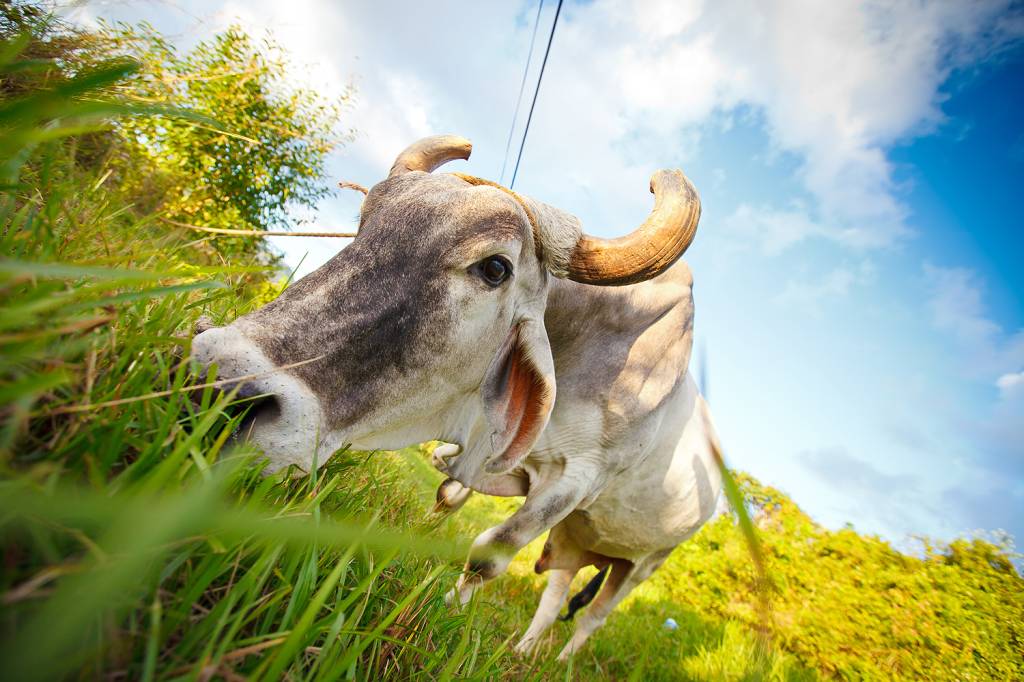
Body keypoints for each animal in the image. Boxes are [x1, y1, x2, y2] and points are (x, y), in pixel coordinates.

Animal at [191, 135, 723, 660]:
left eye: (495, 268)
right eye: (365, 225)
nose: (218, 386)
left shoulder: (576, 479)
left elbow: (491, 554)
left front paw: (448, 606)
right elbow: (447, 495)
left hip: (642, 563)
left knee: (593, 616)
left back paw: (560, 659)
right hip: (576, 536)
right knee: (556, 593)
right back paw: (523, 651)